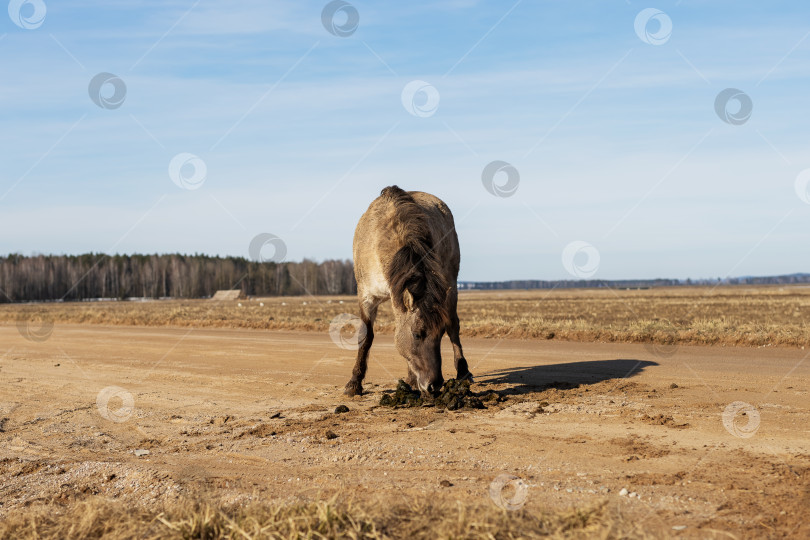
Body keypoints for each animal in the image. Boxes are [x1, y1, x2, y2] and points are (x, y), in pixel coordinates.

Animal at [344, 185, 472, 397]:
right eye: (417, 334)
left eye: (440, 335)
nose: (434, 385)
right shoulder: (366, 297)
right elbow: (366, 336)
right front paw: (354, 383)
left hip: (451, 285)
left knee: (454, 325)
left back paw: (463, 372)